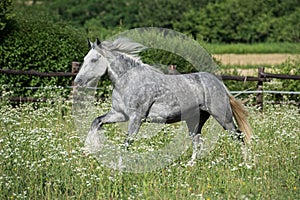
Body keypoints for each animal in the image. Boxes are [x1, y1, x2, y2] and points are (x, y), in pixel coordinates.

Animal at [74, 37, 251, 164]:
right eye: (84, 59)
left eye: (94, 60)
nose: (78, 81)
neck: (129, 81)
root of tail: (220, 84)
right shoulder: (119, 114)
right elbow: (96, 121)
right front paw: (87, 150)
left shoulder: (136, 118)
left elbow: (127, 143)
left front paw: (119, 167)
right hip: (195, 120)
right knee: (197, 141)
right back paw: (190, 165)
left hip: (223, 117)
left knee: (239, 136)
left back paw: (245, 163)